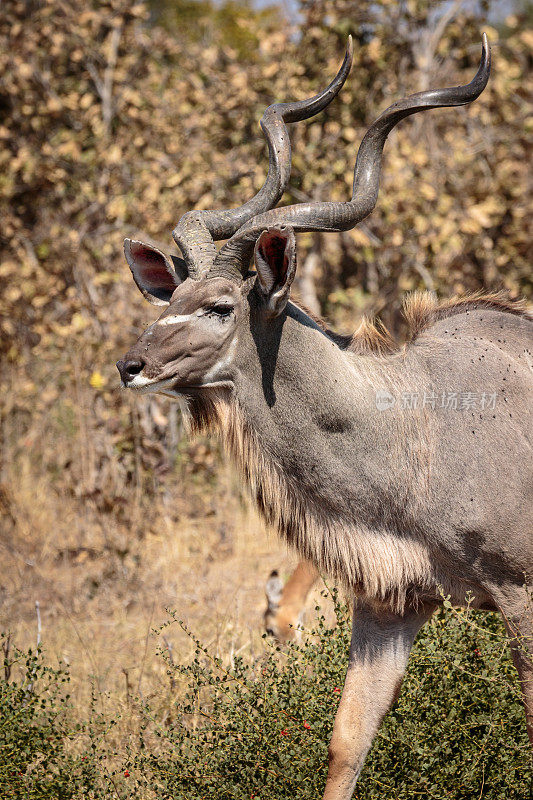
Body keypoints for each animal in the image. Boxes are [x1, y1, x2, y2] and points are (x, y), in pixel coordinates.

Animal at [117, 37, 532, 800]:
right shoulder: (391, 602)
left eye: (220, 305)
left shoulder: (522, 595)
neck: (417, 429)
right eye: (171, 296)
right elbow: (346, 741)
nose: (132, 365)